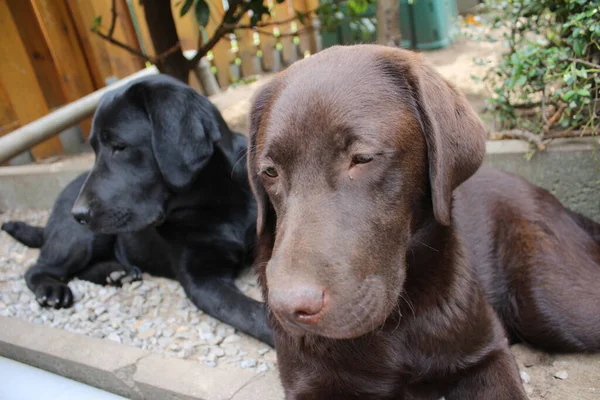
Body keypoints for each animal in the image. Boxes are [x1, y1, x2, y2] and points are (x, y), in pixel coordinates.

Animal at [1, 75, 274, 346]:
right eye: (94, 149)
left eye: (120, 146)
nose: (77, 214)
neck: (218, 203)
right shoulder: (201, 279)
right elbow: (248, 311)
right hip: (80, 239)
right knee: (38, 269)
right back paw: (53, 291)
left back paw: (116, 274)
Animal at [246, 44, 596, 400]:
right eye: (270, 172)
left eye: (363, 158)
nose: (288, 309)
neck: (397, 323)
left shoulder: (488, 353)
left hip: (554, 305)